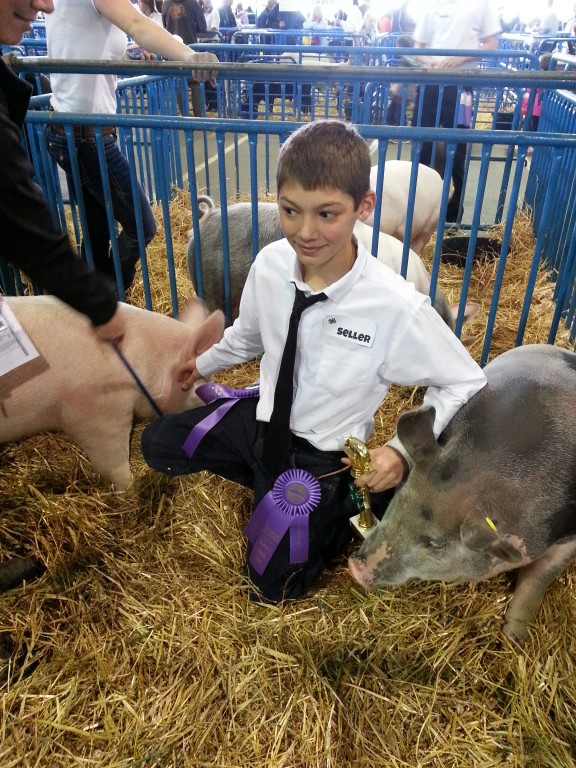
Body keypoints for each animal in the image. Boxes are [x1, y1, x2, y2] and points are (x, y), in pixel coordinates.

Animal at [348, 344, 576, 644]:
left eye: (433, 543)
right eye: (397, 503)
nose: (356, 567)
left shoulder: (567, 537)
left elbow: (537, 580)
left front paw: (513, 641)